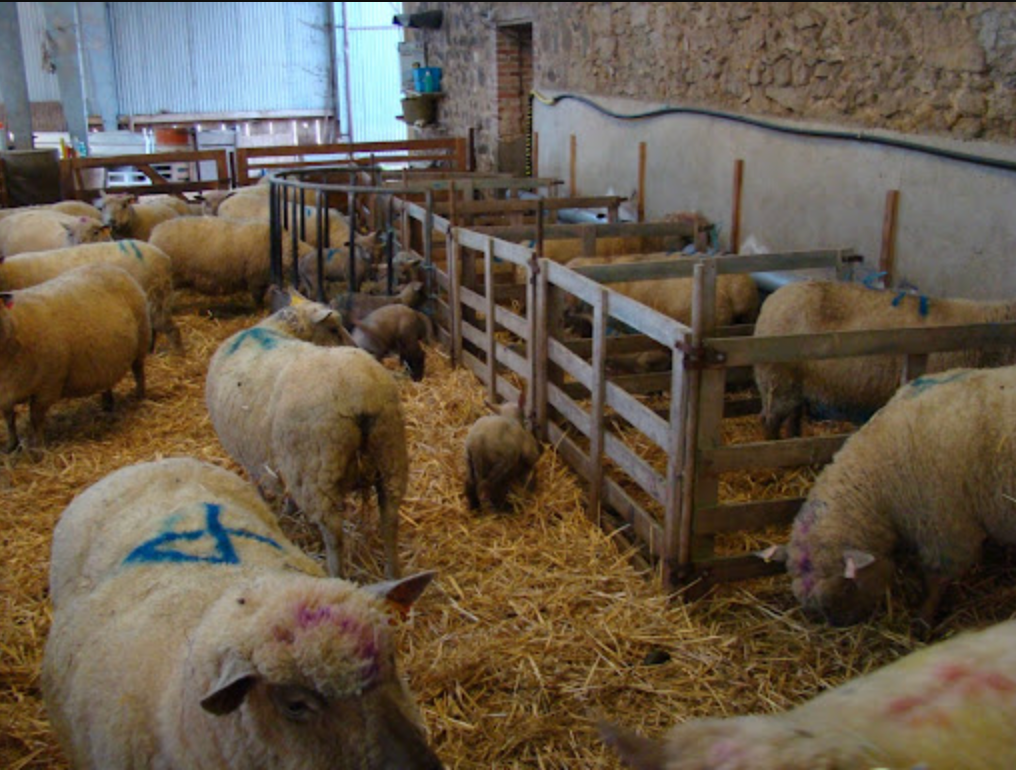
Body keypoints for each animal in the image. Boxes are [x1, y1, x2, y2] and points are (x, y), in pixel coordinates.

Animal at [0, 262, 150, 451]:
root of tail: (112, 267)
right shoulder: (5, 394)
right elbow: (9, 419)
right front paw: (11, 445)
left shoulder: (48, 386)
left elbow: (36, 418)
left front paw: (39, 447)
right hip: (105, 358)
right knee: (107, 381)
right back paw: (107, 405)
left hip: (141, 340)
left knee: (139, 372)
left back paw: (140, 397)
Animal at [205, 296, 408, 578]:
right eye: (333, 329)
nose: (359, 347)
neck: (276, 329)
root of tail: (359, 396)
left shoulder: (255, 457)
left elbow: (258, 486)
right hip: (390, 454)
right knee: (390, 517)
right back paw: (392, 572)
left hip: (315, 471)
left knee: (333, 533)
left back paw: (336, 574)